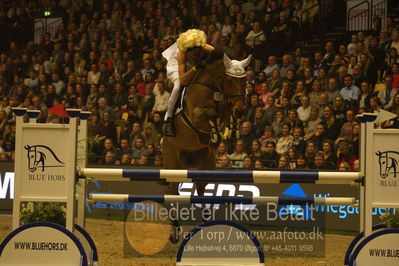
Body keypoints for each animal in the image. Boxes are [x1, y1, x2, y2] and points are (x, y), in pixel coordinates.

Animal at [162, 50, 250, 195]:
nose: (240, 111)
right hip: (174, 165)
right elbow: (211, 113)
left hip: (205, 164)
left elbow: (226, 116)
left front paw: (231, 133)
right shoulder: (195, 116)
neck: (213, 87)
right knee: (174, 188)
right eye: (229, 80)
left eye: (245, 80)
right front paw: (215, 137)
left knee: (201, 188)